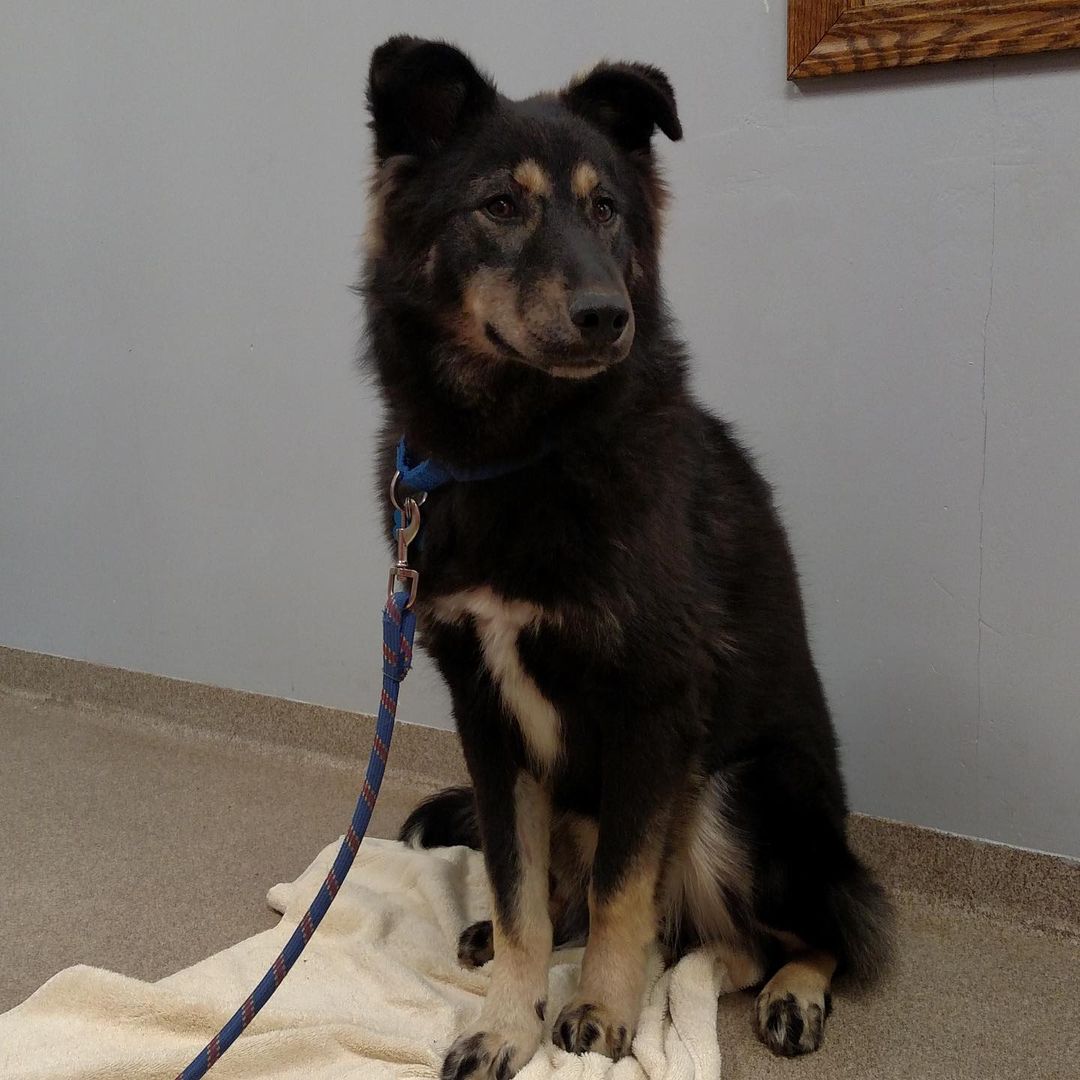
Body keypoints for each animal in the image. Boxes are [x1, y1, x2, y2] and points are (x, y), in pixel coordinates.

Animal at [362, 33, 894, 1080]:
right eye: (501, 205)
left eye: (606, 207)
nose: (609, 316)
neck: (522, 451)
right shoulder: (488, 715)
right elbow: (520, 894)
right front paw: (507, 1019)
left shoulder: (654, 705)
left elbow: (622, 894)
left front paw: (601, 1018)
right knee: (663, 929)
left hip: (741, 794)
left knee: (797, 935)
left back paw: (793, 993)